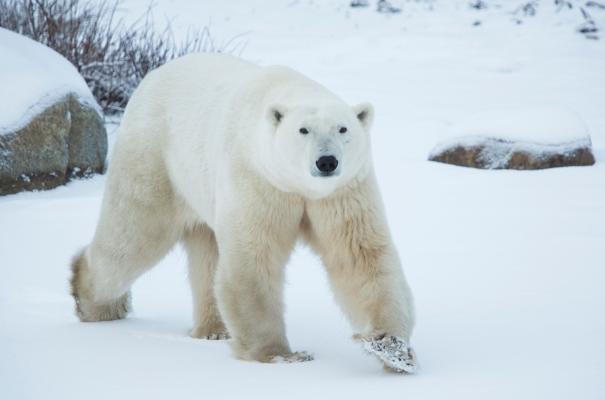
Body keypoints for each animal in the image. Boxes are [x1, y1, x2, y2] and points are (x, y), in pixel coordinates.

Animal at [69, 53, 416, 372]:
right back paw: (95, 302)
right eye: (303, 130)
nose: (327, 161)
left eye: (343, 128)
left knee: (205, 252)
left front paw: (392, 349)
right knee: (133, 235)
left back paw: (213, 330)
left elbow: (360, 257)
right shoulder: (258, 179)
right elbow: (255, 258)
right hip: (155, 159)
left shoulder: (342, 193)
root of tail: (151, 77)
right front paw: (279, 355)